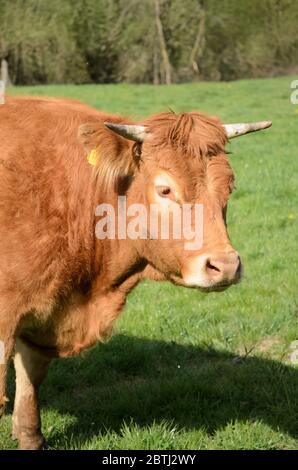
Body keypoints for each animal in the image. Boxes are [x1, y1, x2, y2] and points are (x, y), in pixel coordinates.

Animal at [0, 97, 270, 450]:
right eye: (165, 190)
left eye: (229, 187)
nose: (225, 265)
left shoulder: (42, 315)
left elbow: (30, 376)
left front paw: (29, 435)